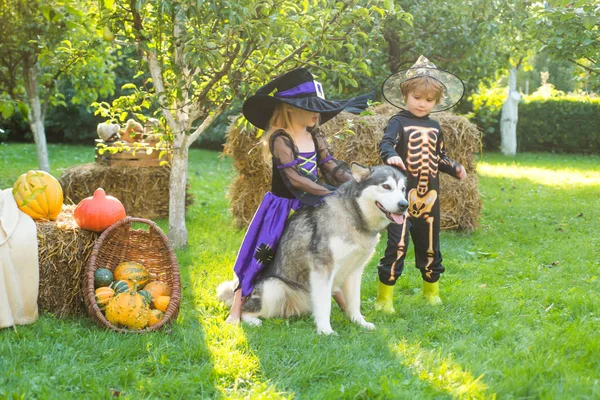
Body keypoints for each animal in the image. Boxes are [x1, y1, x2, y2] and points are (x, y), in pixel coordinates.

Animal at [218, 162, 410, 334]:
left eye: (403, 189)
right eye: (386, 186)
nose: (404, 205)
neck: (354, 217)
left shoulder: (355, 271)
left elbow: (354, 302)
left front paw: (359, 322)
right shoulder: (323, 269)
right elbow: (325, 305)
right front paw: (326, 331)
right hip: (273, 287)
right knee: (245, 309)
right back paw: (250, 320)